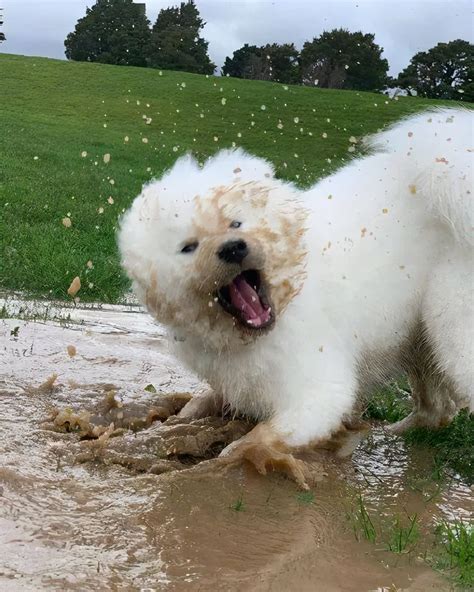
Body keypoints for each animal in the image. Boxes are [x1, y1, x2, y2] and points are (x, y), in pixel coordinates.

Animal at [117, 108, 470, 488]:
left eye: (236, 223)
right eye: (188, 247)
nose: (233, 248)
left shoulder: (318, 387)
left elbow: (265, 434)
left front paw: (228, 461)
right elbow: (206, 401)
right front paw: (182, 418)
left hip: (450, 329)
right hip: (422, 340)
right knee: (437, 410)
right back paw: (391, 433)